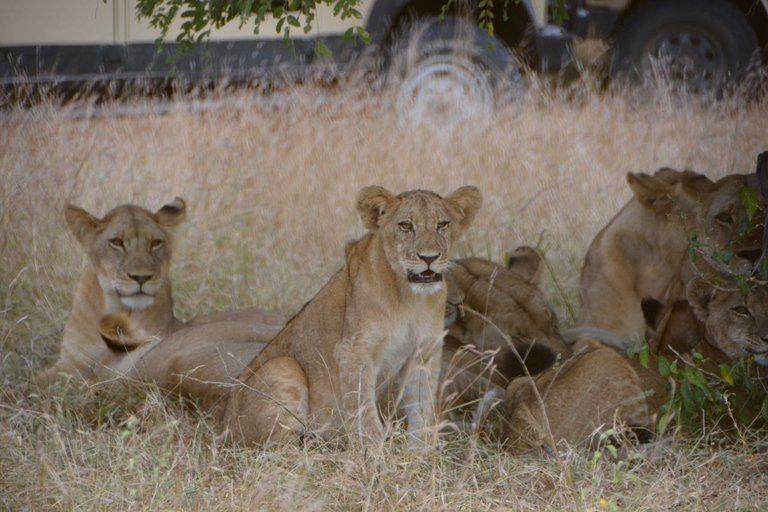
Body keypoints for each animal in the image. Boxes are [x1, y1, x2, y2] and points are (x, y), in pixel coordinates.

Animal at [37, 198, 284, 382]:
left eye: (155, 243)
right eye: (116, 242)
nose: (141, 277)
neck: (117, 307)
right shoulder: (69, 362)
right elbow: (37, 380)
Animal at [225, 186, 484, 446]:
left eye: (442, 224)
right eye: (405, 225)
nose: (429, 258)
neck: (410, 298)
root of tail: (223, 427)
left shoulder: (424, 352)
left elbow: (423, 409)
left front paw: (420, 452)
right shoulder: (353, 352)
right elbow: (364, 412)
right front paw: (376, 453)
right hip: (282, 366)